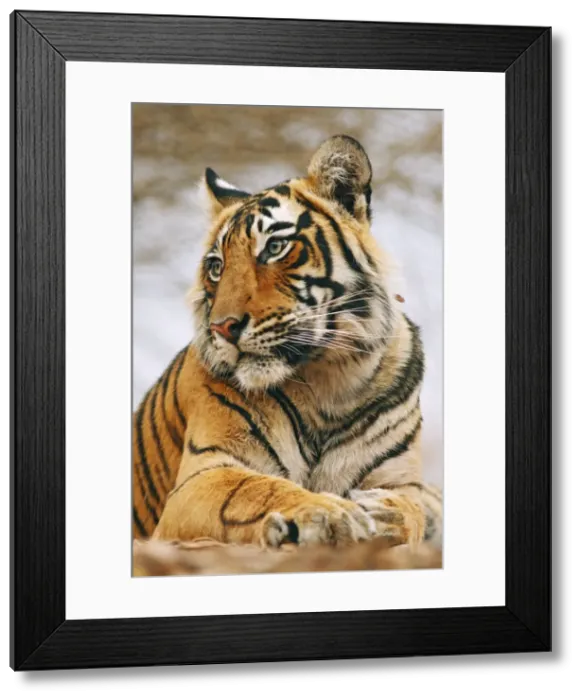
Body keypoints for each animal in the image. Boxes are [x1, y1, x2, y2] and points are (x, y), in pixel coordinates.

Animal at [132, 134, 443, 552]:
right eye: (216, 267)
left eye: (274, 248)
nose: (222, 328)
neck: (332, 380)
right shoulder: (203, 475)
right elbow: (255, 489)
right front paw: (328, 513)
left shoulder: (403, 480)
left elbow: (413, 508)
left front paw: (385, 514)